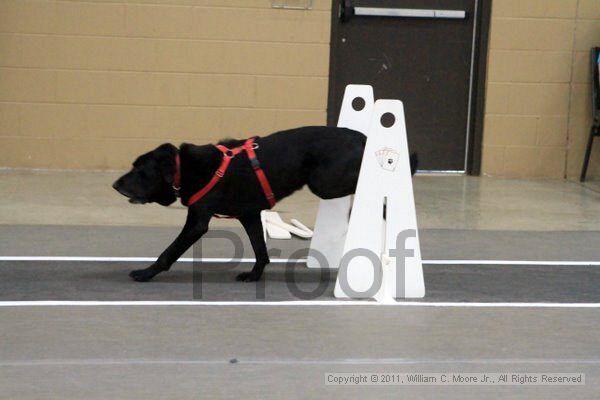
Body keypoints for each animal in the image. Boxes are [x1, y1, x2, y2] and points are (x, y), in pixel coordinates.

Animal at [113, 126, 418, 282]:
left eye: (140, 170)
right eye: (134, 165)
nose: (115, 185)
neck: (183, 169)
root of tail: (361, 136)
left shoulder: (197, 222)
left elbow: (169, 252)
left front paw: (146, 273)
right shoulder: (249, 215)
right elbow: (260, 250)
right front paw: (255, 275)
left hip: (324, 183)